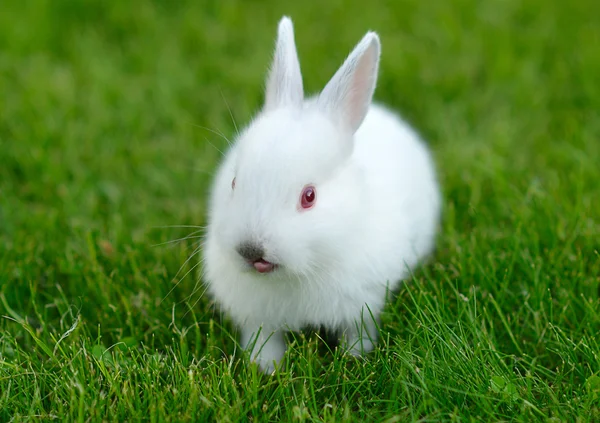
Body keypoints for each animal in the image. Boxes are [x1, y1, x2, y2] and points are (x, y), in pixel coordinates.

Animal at [202, 16, 440, 374]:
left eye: (309, 196)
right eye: (233, 181)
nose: (250, 250)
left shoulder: (362, 305)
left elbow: (358, 332)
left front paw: (355, 358)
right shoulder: (259, 319)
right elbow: (266, 339)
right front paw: (266, 367)